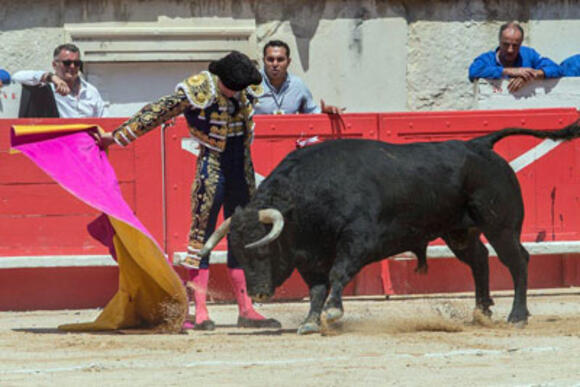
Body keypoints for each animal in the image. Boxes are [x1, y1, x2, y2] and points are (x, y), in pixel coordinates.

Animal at [201, 123, 580, 334]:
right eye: (238, 254)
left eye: (263, 247)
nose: (259, 293)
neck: (306, 200)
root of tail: (478, 144)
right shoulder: (310, 257)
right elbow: (317, 288)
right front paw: (311, 321)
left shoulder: (358, 241)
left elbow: (337, 275)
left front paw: (333, 314)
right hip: (458, 231)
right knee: (479, 260)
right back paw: (482, 312)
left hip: (501, 225)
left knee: (517, 261)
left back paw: (517, 316)